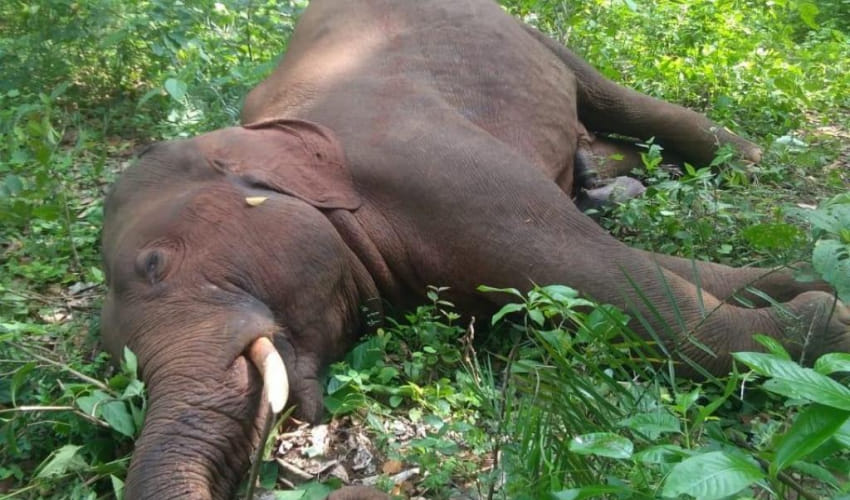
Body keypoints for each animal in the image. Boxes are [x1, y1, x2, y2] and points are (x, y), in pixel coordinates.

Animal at [99, 0, 850, 498]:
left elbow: (606, 281)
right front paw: (805, 289)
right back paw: (608, 180)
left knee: (618, 100)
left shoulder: (441, 167)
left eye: (155, 264)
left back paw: (741, 160)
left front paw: (827, 324)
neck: (269, 133)